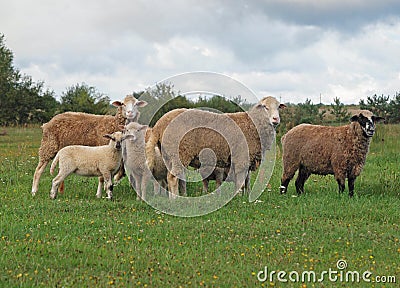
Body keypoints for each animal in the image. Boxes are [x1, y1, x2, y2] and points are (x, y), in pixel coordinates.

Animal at [146, 96, 284, 196]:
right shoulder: (242, 157)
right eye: (265, 107)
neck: (253, 124)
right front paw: (239, 198)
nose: (276, 119)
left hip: (169, 154)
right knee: (173, 177)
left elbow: (247, 180)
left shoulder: (246, 159)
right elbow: (240, 181)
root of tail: (158, 125)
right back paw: (175, 199)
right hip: (180, 152)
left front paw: (246, 195)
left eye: (278, 107)